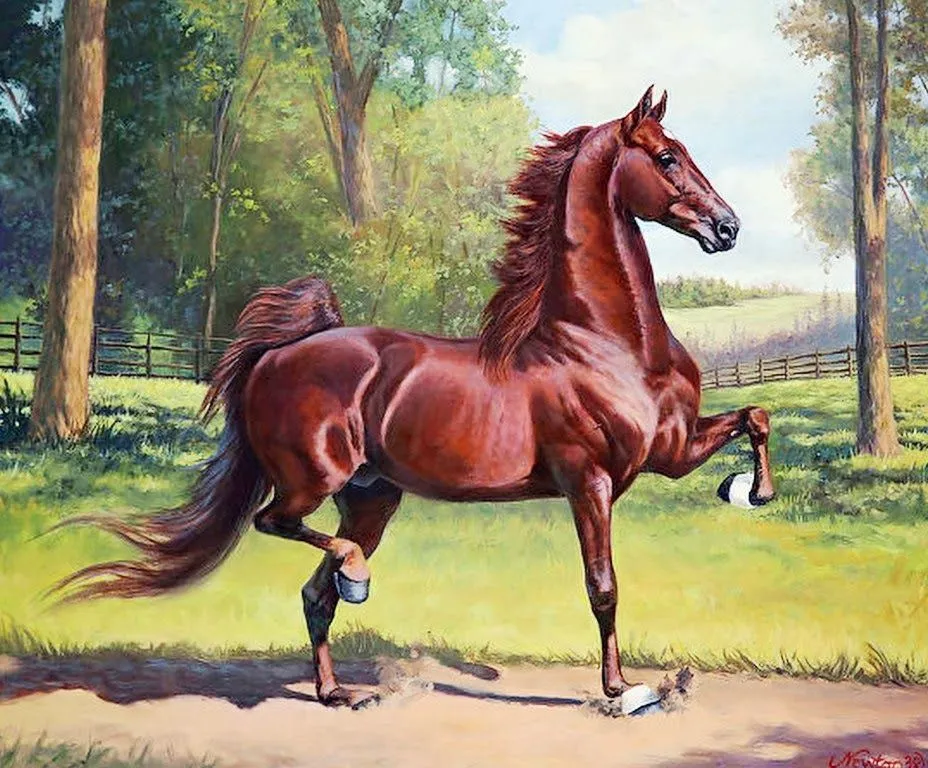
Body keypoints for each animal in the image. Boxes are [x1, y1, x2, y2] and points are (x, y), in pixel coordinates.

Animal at [53, 86, 776, 709]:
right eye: (666, 157)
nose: (729, 227)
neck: (607, 343)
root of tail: (278, 353)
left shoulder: (669, 453)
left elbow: (756, 416)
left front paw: (750, 491)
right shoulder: (589, 481)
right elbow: (604, 587)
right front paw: (622, 690)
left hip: (371, 497)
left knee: (314, 594)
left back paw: (337, 692)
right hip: (316, 480)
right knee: (277, 526)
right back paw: (355, 581)